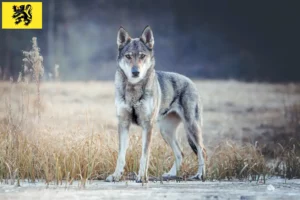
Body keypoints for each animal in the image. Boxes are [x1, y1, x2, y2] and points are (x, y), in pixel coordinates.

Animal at [105, 25, 206, 182]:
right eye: (128, 56)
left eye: (142, 56)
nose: (135, 72)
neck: (134, 89)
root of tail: (191, 81)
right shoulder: (123, 123)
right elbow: (121, 155)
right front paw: (116, 176)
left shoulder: (148, 125)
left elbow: (144, 155)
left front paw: (142, 177)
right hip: (166, 131)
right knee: (180, 153)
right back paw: (171, 174)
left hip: (191, 128)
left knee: (202, 150)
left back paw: (200, 175)